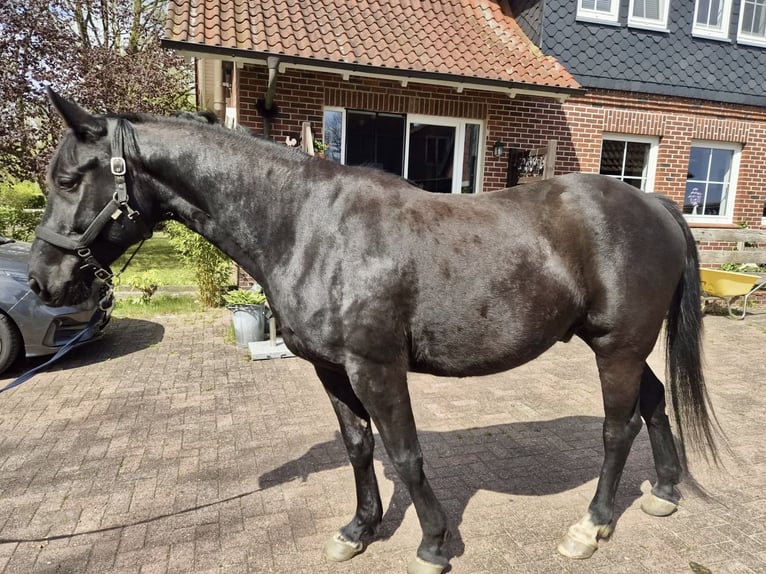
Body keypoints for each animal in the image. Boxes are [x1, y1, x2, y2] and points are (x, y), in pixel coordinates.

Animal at [28, 89, 721, 574]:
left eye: (68, 179)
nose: (41, 281)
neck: (307, 228)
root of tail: (654, 204)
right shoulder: (331, 368)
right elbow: (360, 447)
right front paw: (359, 531)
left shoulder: (376, 367)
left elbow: (405, 454)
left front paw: (435, 543)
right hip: (616, 344)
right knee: (655, 403)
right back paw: (664, 492)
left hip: (617, 346)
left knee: (618, 428)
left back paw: (591, 526)